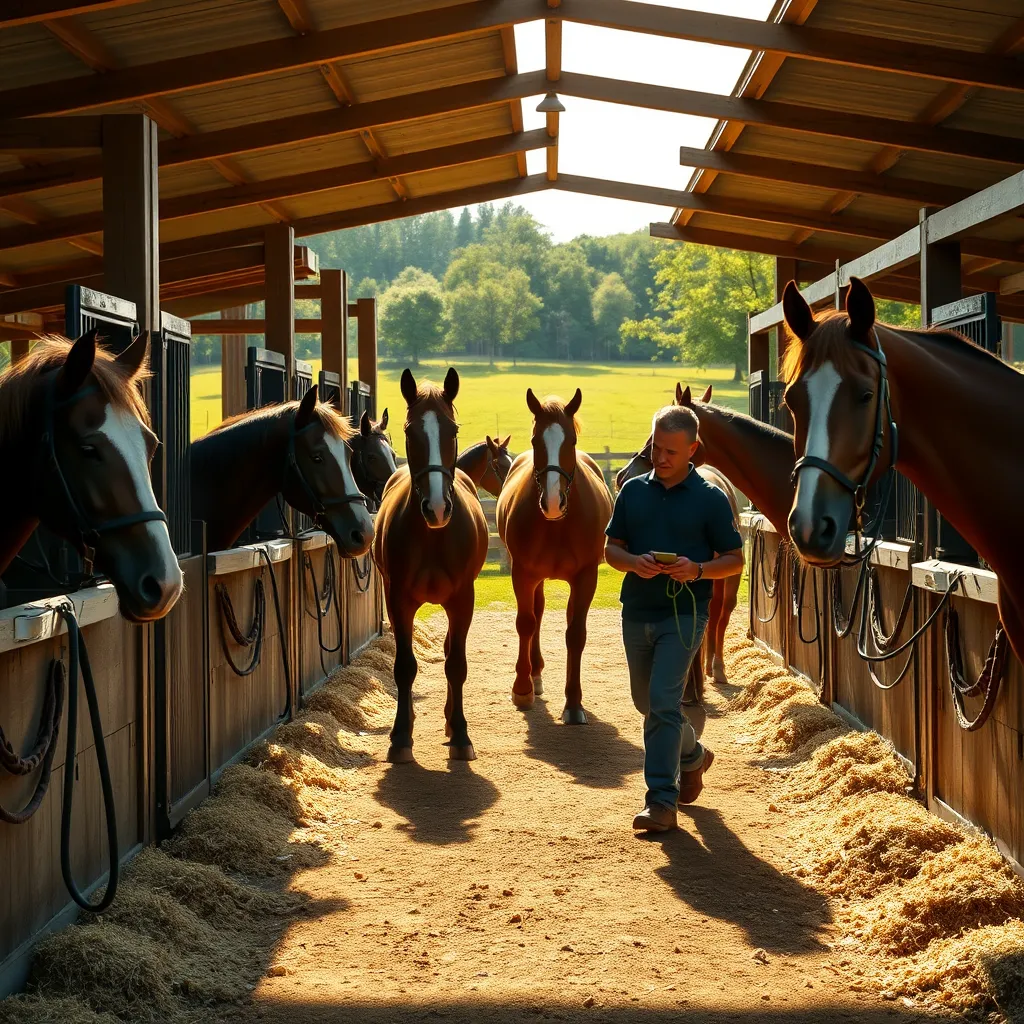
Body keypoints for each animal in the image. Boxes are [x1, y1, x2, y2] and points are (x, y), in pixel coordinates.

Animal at [372, 368, 488, 762]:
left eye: (452, 430)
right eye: (410, 432)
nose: (437, 508)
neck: (433, 538)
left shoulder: (463, 600)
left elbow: (456, 664)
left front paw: (463, 734)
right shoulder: (398, 601)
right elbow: (404, 666)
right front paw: (399, 737)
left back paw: (452, 722)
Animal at [497, 389, 612, 723]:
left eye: (571, 440)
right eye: (536, 440)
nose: (551, 502)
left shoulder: (586, 577)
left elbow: (576, 634)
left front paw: (573, 703)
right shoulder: (523, 573)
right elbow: (525, 623)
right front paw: (522, 689)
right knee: (535, 615)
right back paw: (534, 676)